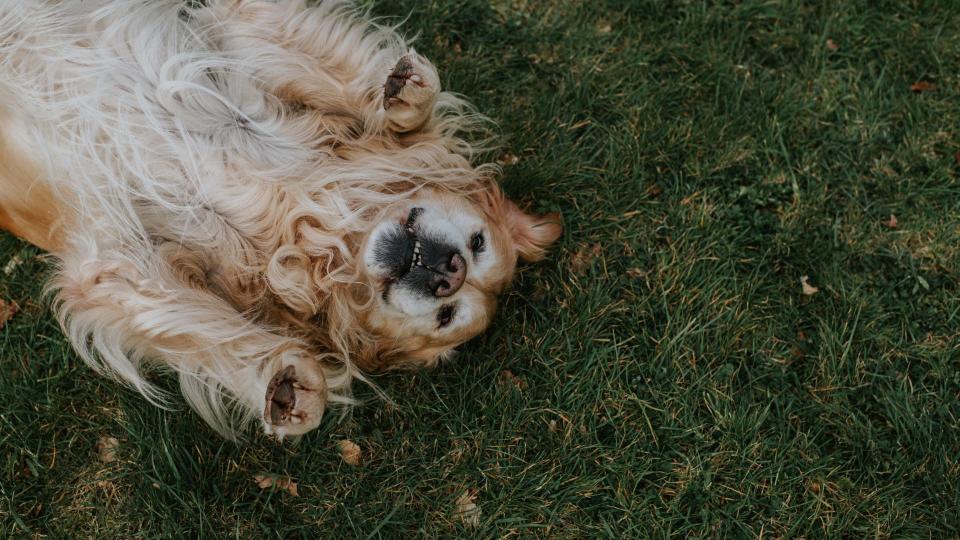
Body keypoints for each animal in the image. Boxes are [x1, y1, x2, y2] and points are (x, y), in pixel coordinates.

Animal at [0, 1, 560, 438]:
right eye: (479, 241)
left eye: (448, 317)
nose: (448, 271)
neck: (301, 212)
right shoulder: (236, 33)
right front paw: (402, 92)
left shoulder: (110, 264)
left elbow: (191, 322)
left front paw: (282, 380)